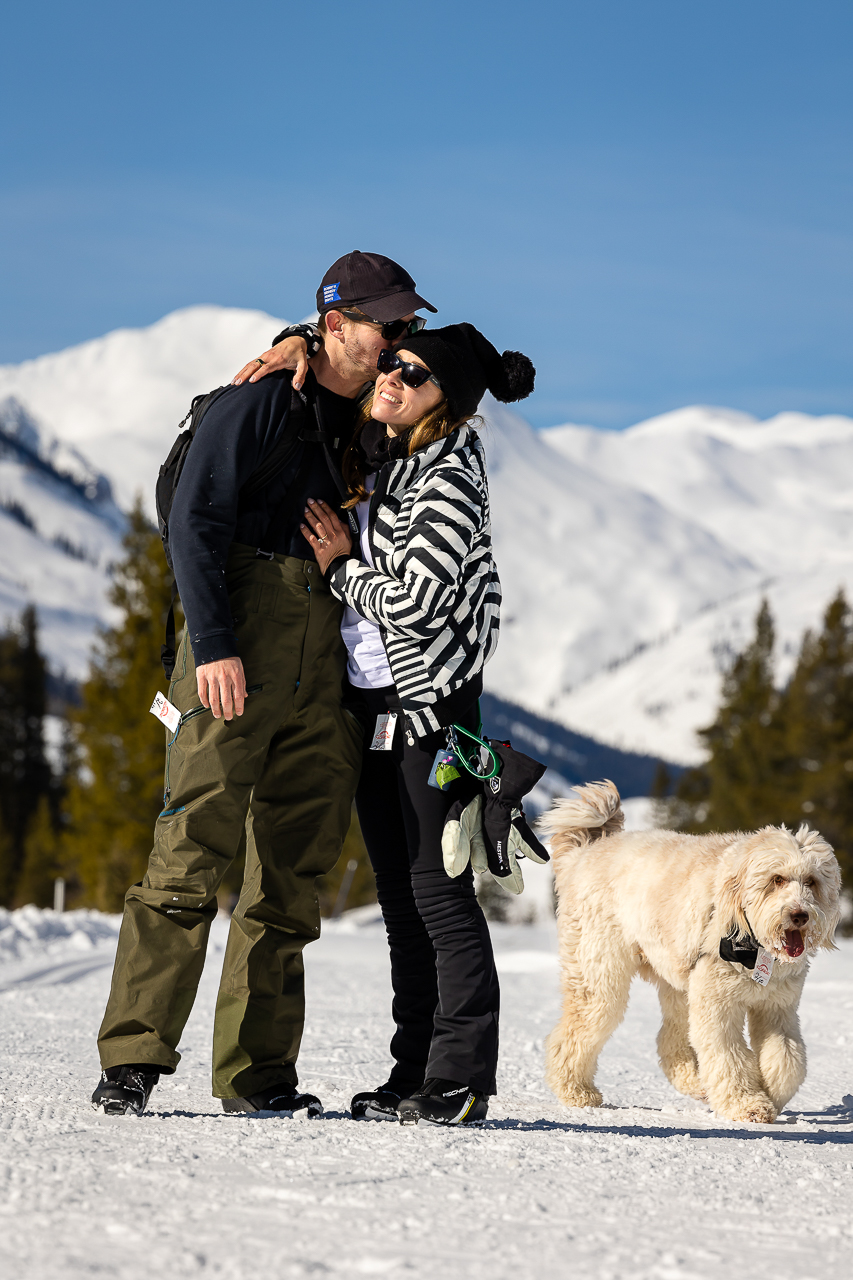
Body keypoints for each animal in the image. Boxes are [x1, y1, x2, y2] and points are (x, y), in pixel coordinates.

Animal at [537, 783, 835, 1126]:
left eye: (811, 882)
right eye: (777, 879)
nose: (799, 915)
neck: (753, 943)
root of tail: (583, 854)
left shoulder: (778, 1007)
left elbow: (788, 1058)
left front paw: (771, 1094)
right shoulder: (718, 1003)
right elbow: (727, 1054)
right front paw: (746, 1104)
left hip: (678, 980)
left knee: (672, 1040)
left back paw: (697, 1084)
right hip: (600, 975)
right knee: (575, 1032)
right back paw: (576, 1091)